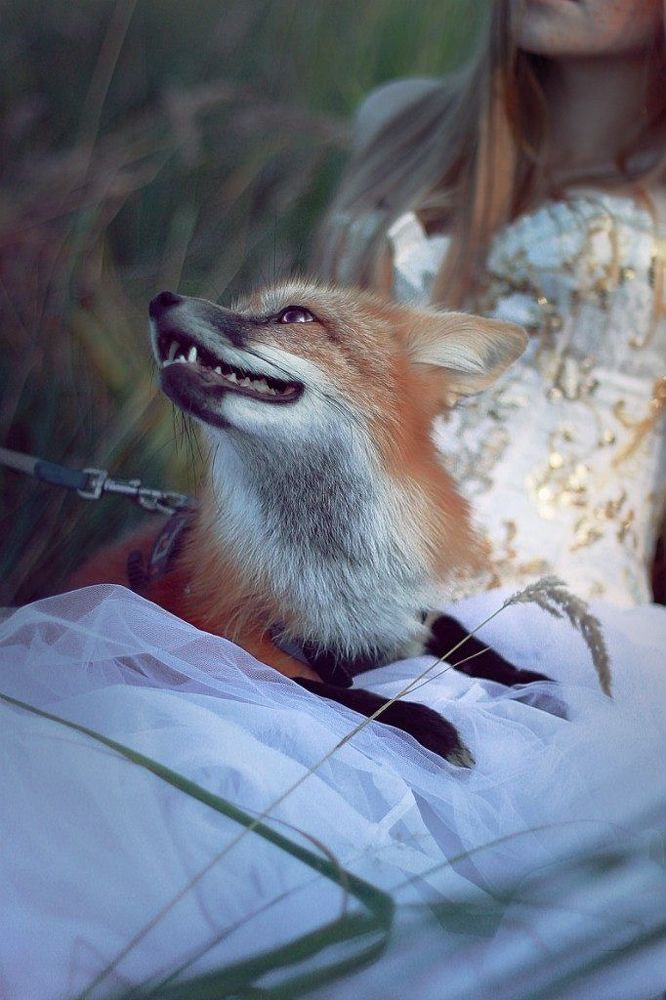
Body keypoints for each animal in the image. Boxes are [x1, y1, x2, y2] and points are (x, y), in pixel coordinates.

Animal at [71, 282, 551, 766]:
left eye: (295, 316)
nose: (161, 298)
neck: (336, 573)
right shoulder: (224, 642)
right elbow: (335, 694)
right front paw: (431, 726)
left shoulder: (403, 617)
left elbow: (464, 635)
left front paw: (530, 679)